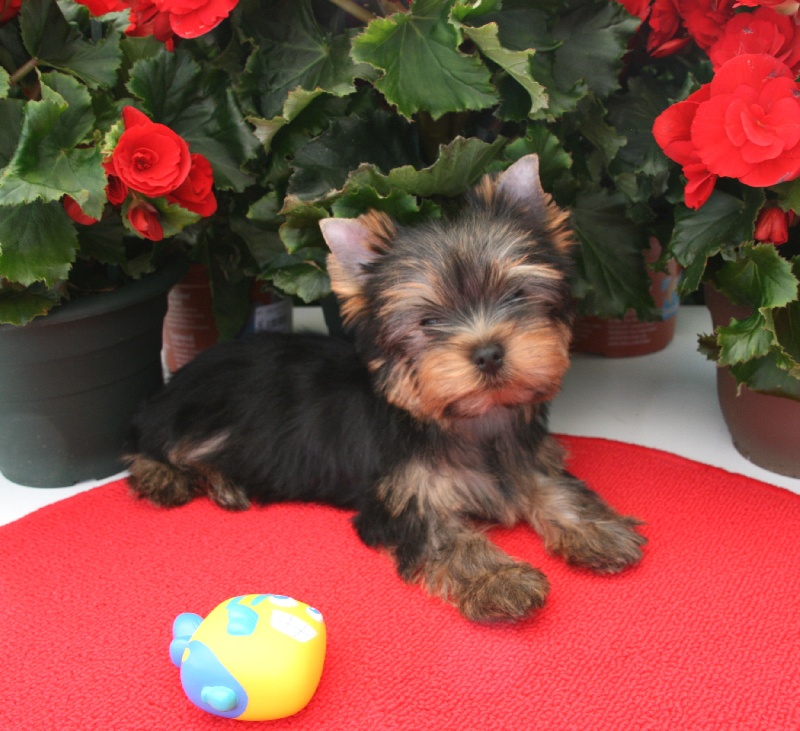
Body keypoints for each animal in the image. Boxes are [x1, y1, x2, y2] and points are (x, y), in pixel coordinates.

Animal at [126, 154, 645, 622]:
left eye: (517, 295)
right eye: (428, 322)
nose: (488, 352)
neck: (470, 419)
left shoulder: (526, 457)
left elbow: (555, 486)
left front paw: (597, 530)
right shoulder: (405, 498)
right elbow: (449, 539)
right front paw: (498, 580)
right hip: (202, 411)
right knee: (154, 445)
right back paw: (171, 477)